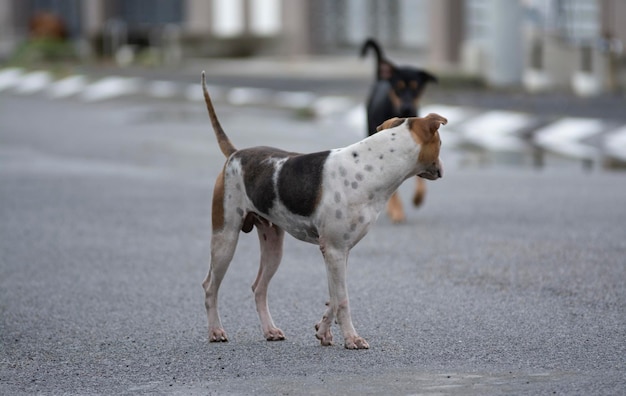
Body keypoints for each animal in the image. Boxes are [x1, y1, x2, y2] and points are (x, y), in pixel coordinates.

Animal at [200, 72, 444, 350]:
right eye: (440, 143)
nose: (440, 169)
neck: (371, 167)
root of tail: (235, 154)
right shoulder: (335, 250)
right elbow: (342, 300)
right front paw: (351, 338)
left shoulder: (338, 252)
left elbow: (334, 298)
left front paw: (324, 331)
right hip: (225, 239)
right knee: (210, 286)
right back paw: (216, 331)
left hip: (273, 246)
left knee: (259, 287)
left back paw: (270, 330)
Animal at [358, 38, 436, 223]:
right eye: (398, 88)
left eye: (416, 88)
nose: (407, 107)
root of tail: (381, 79)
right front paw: (397, 211)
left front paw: (418, 198)